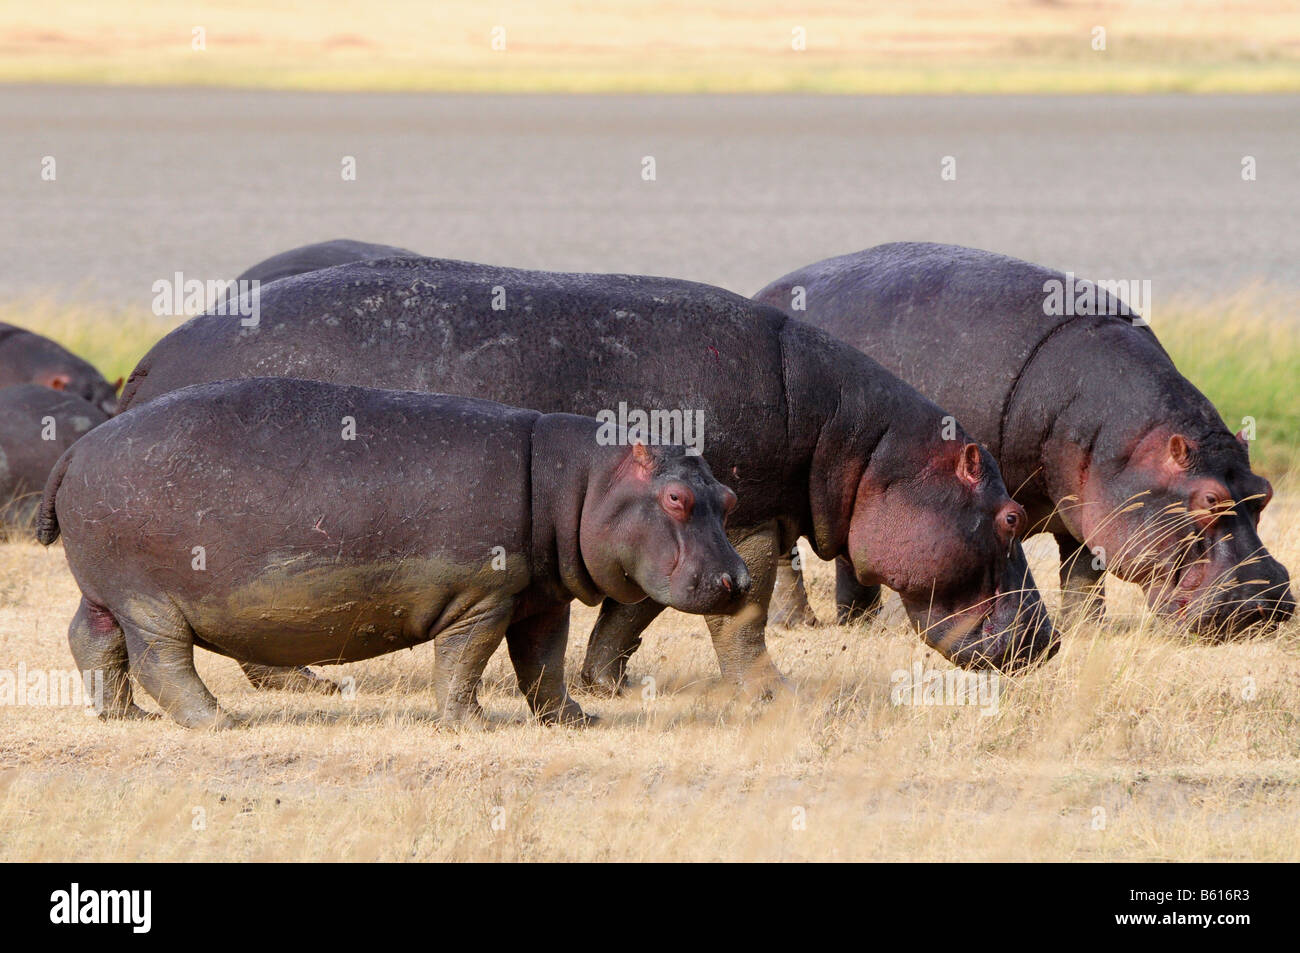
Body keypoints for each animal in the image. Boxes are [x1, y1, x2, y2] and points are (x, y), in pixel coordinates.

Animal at [38, 374, 754, 722]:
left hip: (104, 593)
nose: (741, 582)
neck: (579, 480)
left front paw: (575, 720)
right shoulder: (482, 598)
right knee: (161, 661)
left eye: (727, 496)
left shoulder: (540, 599)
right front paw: (470, 725)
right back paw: (219, 721)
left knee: (91, 640)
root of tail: (77, 448)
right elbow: (464, 663)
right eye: (676, 499)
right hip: (148, 600)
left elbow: (544, 665)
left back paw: (123, 718)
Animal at [116, 258, 1060, 691]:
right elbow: (733, 611)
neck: (864, 447)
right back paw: (303, 681)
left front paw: (607, 679)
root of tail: (150, 358)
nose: (1048, 640)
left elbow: (631, 612)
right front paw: (761, 685)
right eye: (1009, 518)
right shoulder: (743, 518)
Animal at [759, 241, 1294, 634]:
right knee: (789, 557)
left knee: (852, 552)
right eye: (1209, 499)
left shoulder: (1083, 505)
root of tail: (766, 290)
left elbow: (1083, 572)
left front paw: (1089, 630)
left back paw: (859, 622)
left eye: (1264, 493)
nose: (1265, 601)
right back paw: (800, 622)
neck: (1130, 446)